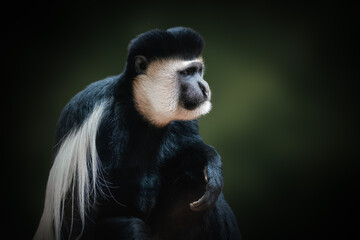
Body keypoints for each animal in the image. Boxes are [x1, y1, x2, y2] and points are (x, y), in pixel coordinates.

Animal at [34, 26, 242, 240]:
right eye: (187, 73)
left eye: (198, 71)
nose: (204, 87)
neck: (139, 108)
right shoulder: (104, 125)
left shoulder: (182, 121)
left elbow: (189, 150)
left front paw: (212, 164)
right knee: (129, 226)